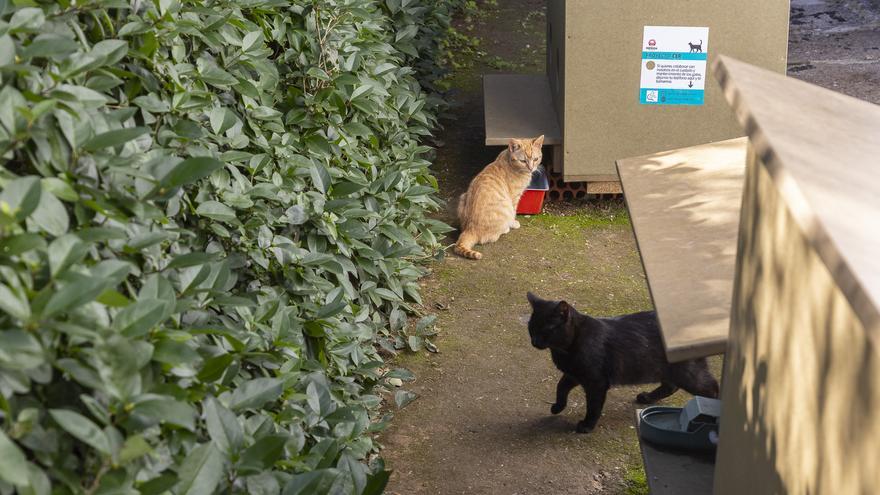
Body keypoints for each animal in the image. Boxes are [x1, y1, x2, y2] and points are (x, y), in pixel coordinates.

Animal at [524, 294, 720, 434]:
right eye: (531, 327)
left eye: (547, 329)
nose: (534, 341)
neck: (565, 350)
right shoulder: (573, 374)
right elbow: (560, 387)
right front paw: (558, 406)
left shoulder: (596, 382)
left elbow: (593, 406)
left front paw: (587, 425)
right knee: (670, 386)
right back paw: (647, 397)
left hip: (689, 374)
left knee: (712, 388)